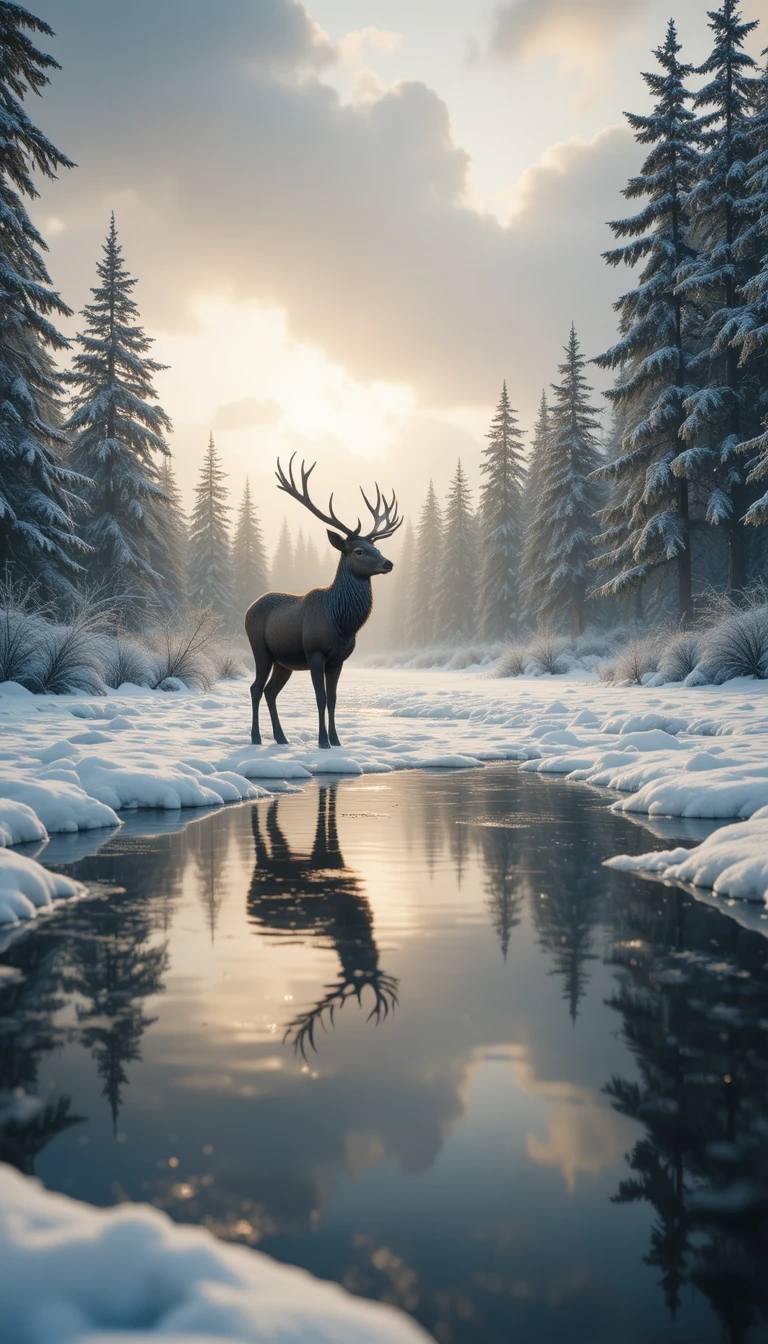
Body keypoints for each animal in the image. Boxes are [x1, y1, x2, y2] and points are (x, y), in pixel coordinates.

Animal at [244, 455, 402, 750]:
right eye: (359, 550)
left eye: (377, 547)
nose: (388, 563)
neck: (342, 622)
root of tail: (248, 608)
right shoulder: (315, 653)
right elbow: (320, 698)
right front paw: (323, 742)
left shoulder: (338, 660)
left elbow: (333, 700)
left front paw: (337, 741)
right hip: (260, 649)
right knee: (256, 688)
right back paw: (256, 738)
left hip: (284, 662)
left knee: (271, 691)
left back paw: (281, 738)